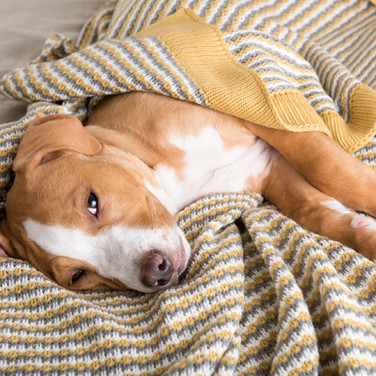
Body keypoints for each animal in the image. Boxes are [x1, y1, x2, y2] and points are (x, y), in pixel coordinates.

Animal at [0, 92, 376, 292]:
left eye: (92, 202)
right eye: (77, 276)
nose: (157, 271)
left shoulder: (267, 115)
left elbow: (331, 170)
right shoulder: (269, 167)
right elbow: (314, 210)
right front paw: (363, 234)